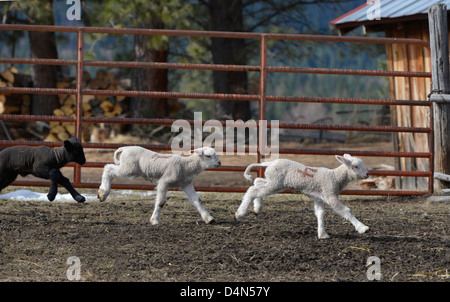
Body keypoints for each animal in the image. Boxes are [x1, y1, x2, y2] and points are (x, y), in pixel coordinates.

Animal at [236, 155, 370, 239]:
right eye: (355, 166)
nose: (367, 174)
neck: (335, 177)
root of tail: (270, 163)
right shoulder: (330, 194)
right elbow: (346, 211)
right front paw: (362, 228)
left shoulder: (319, 197)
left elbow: (320, 213)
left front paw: (322, 234)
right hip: (275, 182)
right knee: (253, 190)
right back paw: (240, 212)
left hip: (274, 182)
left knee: (257, 182)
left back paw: (257, 206)